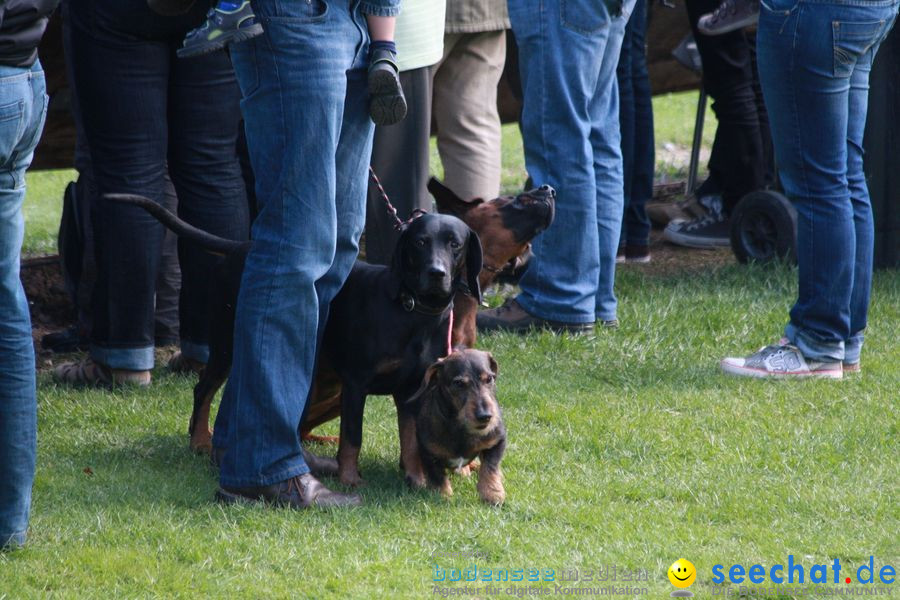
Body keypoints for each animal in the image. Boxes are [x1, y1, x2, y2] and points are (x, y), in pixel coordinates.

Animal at [414, 350, 506, 504]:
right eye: (458, 383)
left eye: (489, 379)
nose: (485, 416)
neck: (461, 428)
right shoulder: (428, 453)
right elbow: (437, 476)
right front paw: (443, 496)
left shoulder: (497, 441)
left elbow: (490, 467)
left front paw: (492, 494)